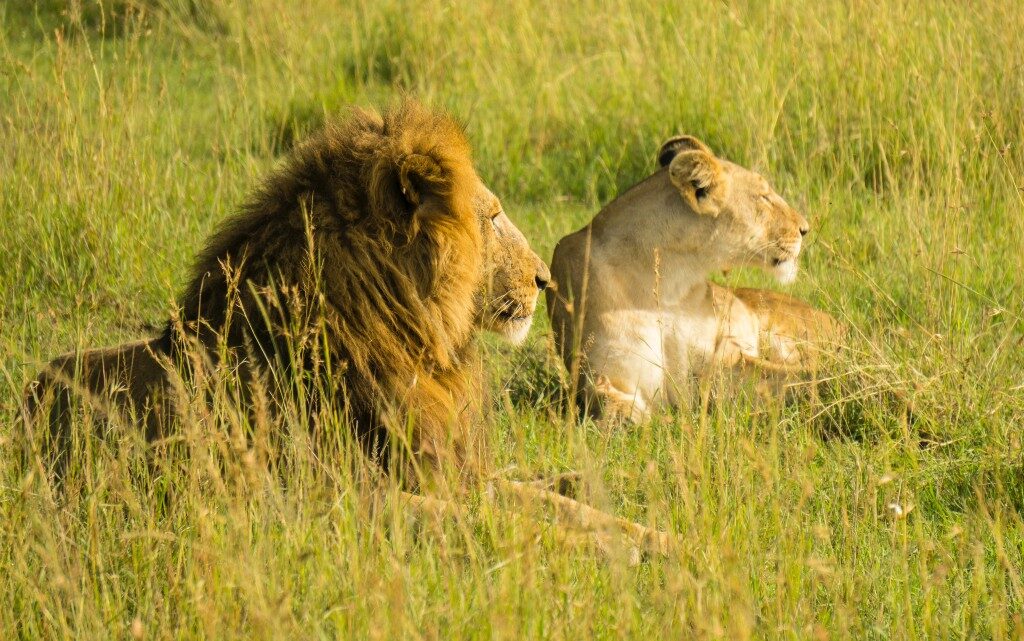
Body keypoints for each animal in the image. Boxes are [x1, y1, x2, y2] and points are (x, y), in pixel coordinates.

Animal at [25, 102, 671, 557]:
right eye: (490, 218)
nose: (544, 279)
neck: (408, 334)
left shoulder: (445, 468)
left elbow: (550, 502)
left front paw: (655, 537)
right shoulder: (337, 495)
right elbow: (487, 521)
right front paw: (598, 549)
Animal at [548, 135, 843, 419]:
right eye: (763, 197)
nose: (805, 229)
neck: (668, 283)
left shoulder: (724, 361)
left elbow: (803, 376)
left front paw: (846, 380)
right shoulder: (603, 375)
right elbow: (616, 410)